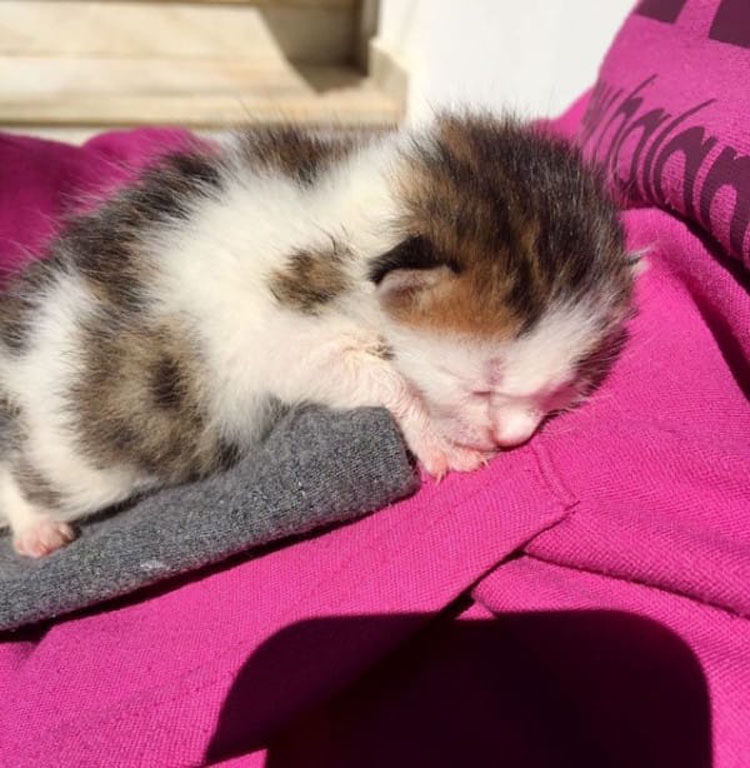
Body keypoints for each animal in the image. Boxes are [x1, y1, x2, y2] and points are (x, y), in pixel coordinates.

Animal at [0, 114, 636, 560]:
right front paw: (442, 446)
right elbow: (385, 378)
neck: (363, 232)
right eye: (481, 383)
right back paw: (37, 529)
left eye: (562, 389)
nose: (514, 437)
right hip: (77, 453)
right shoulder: (275, 341)